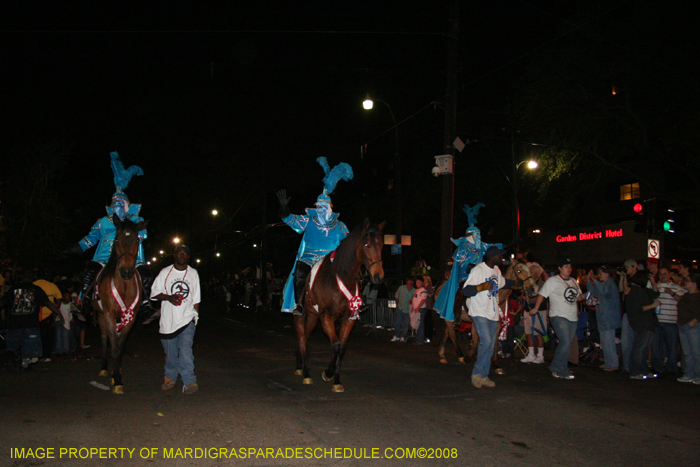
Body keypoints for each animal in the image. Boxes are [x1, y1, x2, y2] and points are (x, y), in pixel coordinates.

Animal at [92, 218, 146, 394]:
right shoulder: (109, 315)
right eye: (117, 240)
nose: (126, 271)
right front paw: (116, 380)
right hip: (101, 315)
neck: (124, 286)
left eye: (136, 240)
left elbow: (120, 348)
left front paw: (117, 375)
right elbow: (114, 346)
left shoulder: (130, 318)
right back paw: (104, 367)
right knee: (105, 338)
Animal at [292, 219, 386, 392]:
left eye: (381, 244)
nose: (378, 276)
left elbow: (341, 347)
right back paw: (306, 374)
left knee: (306, 338)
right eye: (367, 244)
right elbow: (335, 346)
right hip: (301, 316)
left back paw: (300, 366)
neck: (341, 276)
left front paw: (336, 380)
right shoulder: (326, 317)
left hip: (313, 317)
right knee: (302, 339)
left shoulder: (349, 319)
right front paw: (328, 373)